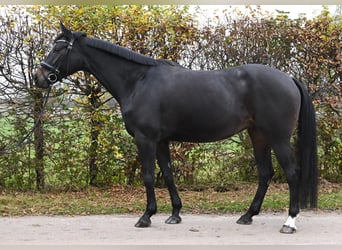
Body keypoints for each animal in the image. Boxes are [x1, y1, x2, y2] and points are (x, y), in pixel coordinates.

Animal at [34, 23, 318, 232]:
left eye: (59, 48)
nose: (39, 77)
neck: (138, 81)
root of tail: (289, 78)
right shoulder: (161, 140)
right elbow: (168, 174)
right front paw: (175, 214)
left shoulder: (145, 139)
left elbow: (149, 176)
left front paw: (146, 216)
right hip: (258, 135)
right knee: (265, 173)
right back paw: (247, 215)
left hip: (278, 138)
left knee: (291, 173)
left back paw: (289, 222)